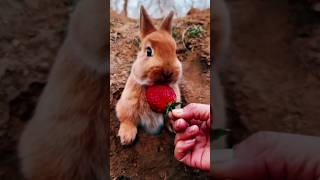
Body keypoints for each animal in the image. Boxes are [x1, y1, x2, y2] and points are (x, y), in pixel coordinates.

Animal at [116, 6, 182, 145]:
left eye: (175, 51)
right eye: (148, 51)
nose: (168, 72)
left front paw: (173, 126)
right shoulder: (127, 105)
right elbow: (127, 119)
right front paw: (126, 137)